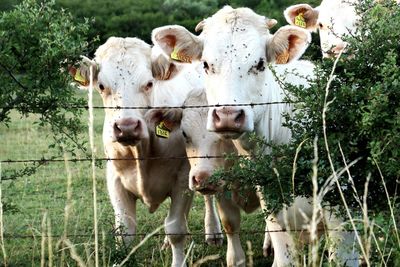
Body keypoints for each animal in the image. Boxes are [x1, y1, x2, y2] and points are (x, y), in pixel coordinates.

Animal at [70, 36, 222, 266]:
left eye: (149, 83)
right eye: (102, 86)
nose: (126, 127)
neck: (141, 151)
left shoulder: (182, 178)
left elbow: (176, 229)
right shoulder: (115, 180)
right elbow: (125, 232)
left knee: (208, 197)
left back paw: (213, 232)